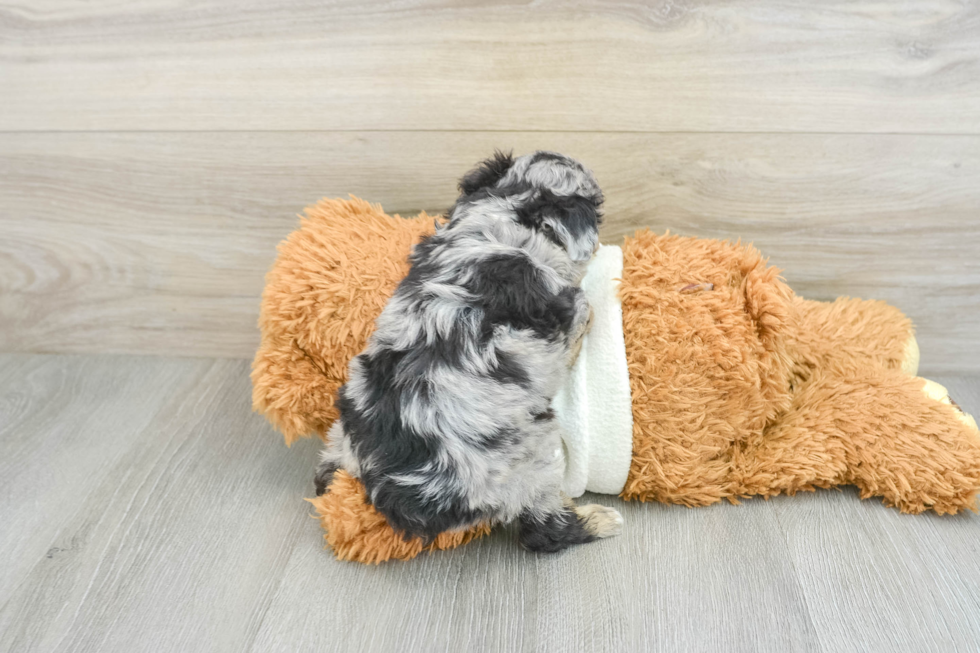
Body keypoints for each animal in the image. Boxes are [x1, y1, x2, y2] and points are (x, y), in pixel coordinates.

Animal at [314, 149, 620, 552]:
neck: (505, 211)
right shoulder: (567, 308)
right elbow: (582, 313)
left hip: (344, 429)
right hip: (524, 460)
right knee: (543, 527)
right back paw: (598, 520)